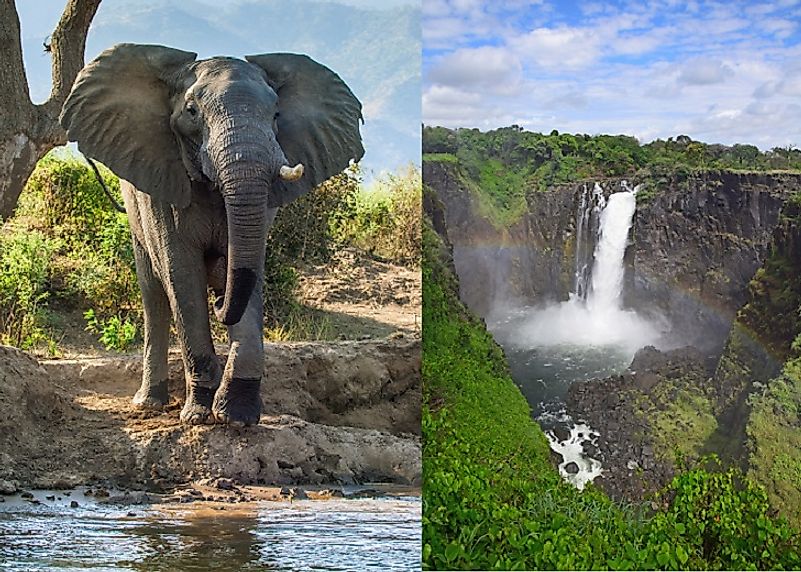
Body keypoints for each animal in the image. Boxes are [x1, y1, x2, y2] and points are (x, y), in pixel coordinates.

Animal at [59, 43, 362, 424]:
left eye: (276, 114)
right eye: (191, 111)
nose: (219, 301)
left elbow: (248, 270)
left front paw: (237, 417)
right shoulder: (163, 190)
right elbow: (182, 276)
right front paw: (199, 416)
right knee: (153, 293)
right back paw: (149, 404)